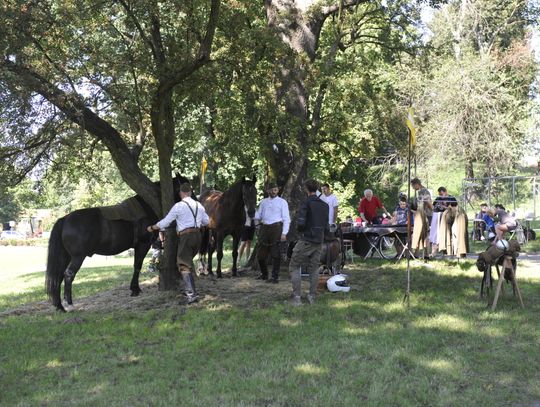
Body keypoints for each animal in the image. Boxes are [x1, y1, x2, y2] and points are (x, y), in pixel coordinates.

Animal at [44, 175, 184, 312]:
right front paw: (135, 289)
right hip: (78, 257)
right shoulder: (143, 245)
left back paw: (60, 306)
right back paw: (69, 304)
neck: (145, 208)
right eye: (185, 185)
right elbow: (137, 265)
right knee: (68, 274)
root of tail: (65, 219)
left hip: (66, 257)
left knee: (58, 277)